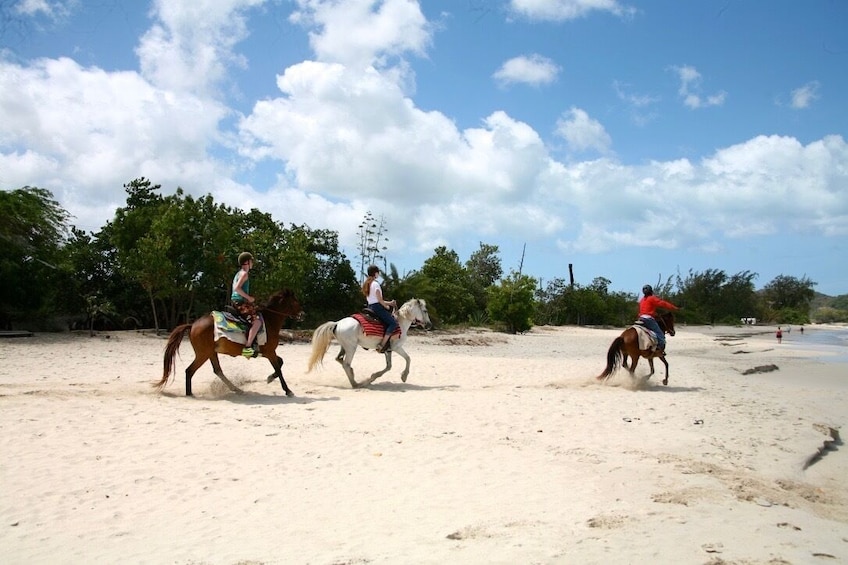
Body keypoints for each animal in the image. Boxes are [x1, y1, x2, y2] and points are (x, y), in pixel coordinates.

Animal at [157, 286, 304, 396]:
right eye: (295, 301)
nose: (303, 314)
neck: (269, 321)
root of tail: (192, 325)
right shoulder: (270, 352)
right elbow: (279, 368)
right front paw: (287, 390)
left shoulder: (268, 352)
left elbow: (280, 363)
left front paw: (270, 378)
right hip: (203, 354)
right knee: (190, 371)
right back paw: (190, 394)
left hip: (211, 353)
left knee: (217, 371)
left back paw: (236, 389)